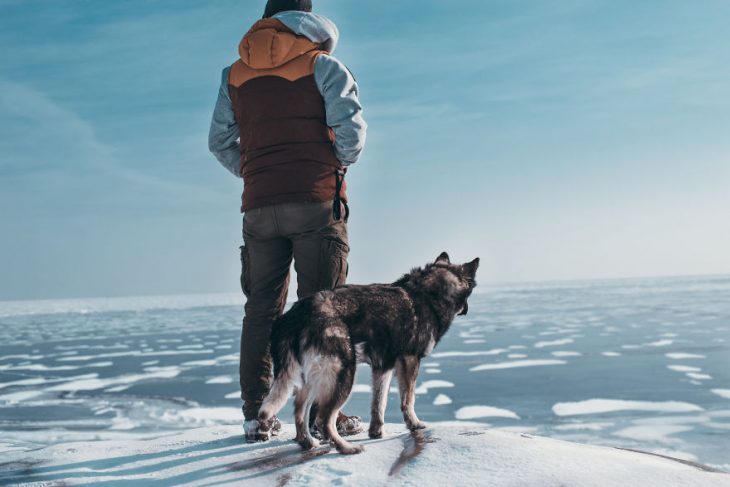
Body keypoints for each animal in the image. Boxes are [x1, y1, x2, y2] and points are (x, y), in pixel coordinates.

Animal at [256, 254, 478, 456]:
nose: (468, 310)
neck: (425, 293)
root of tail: (295, 314)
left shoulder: (383, 368)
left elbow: (379, 403)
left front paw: (376, 431)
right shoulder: (410, 361)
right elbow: (408, 399)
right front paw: (414, 424)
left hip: (314, 379)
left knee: (300, 413)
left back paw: (308, 443)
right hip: (343, 375)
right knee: (323, 419)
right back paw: (345, 448)